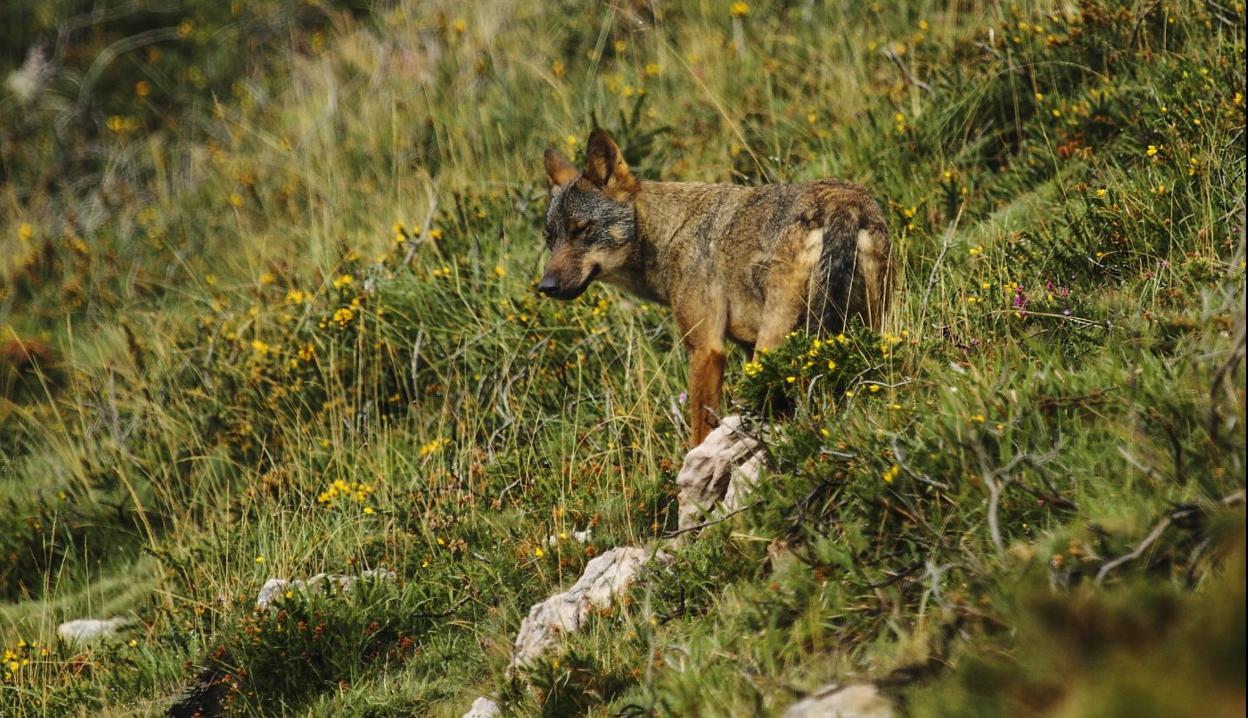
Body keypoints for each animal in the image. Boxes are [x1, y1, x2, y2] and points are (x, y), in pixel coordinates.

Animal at [536, 129, 888, 444]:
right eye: (550, 238)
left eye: (583, 229)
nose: (545, 286)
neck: (670, 232)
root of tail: (843, 204)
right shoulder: (744, 346)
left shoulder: (706, 350)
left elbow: (700, 431)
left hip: (777, 346)